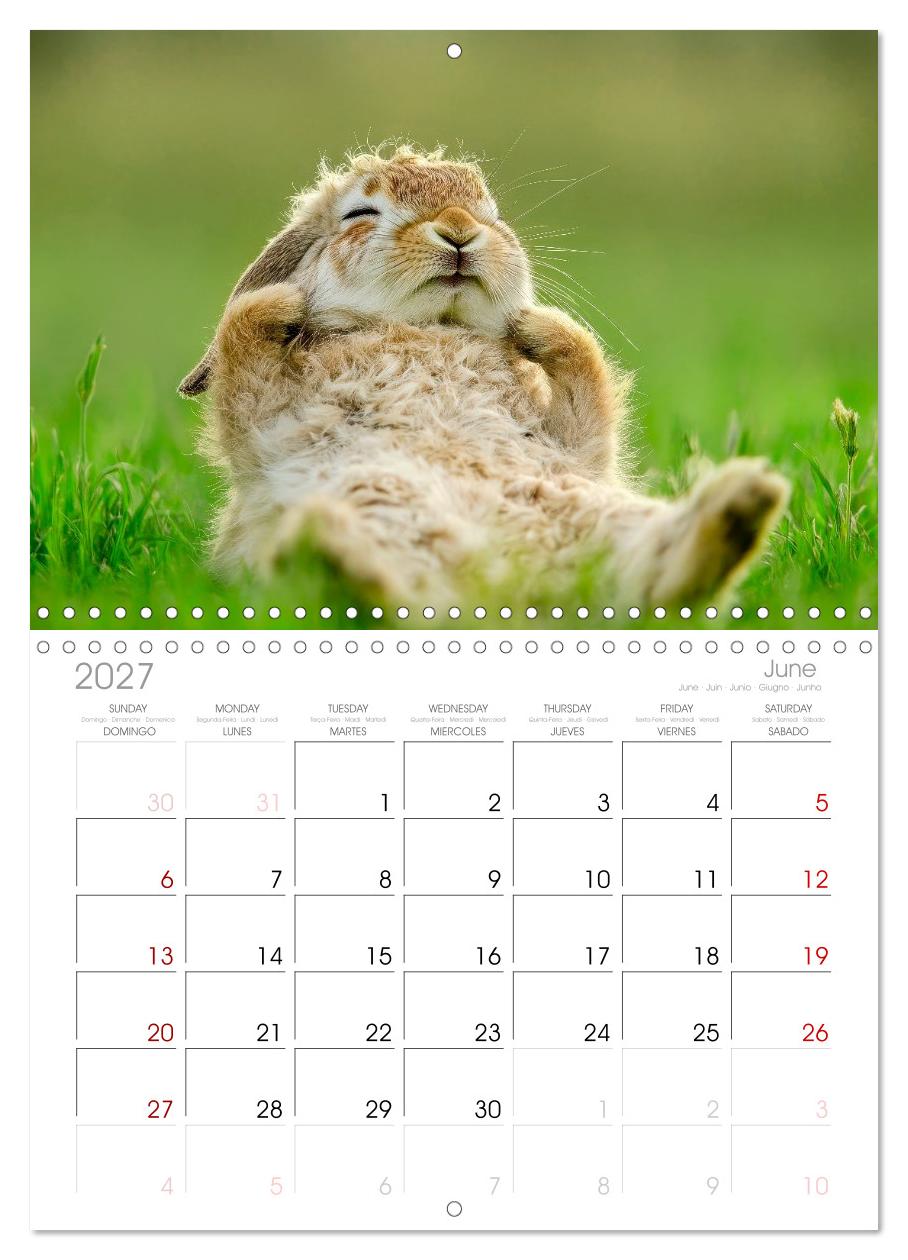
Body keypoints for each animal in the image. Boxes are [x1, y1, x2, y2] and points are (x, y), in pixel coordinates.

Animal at [180, 144, 789, 606]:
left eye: (490, 210)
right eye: (360, 214)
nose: (459, 230)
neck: (430, 330)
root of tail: (511, 578)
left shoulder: (577, 448)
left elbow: (586, 386)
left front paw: (534, 323)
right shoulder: (268, 426)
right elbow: (242, 360)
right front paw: (283, 304)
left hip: (595, 515)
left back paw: (742, 504)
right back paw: (327, 551)